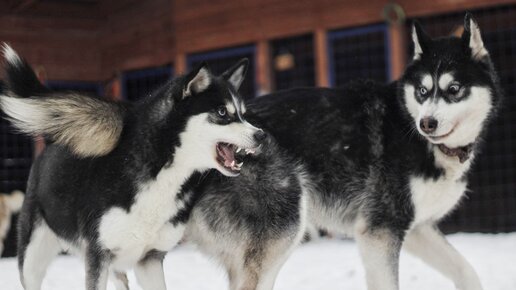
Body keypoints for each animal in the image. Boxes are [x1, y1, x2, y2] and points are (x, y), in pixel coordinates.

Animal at [1, 43, 266, 290]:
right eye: (222, 112)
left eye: (243, 114)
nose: (261, 135)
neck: (160, 171)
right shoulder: (98, 255)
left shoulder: (149, 259)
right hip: (33, 261)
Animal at [250, 15, 500, 290]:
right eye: (422, 91)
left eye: (454, 89)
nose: (426, 123)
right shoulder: (381, 231)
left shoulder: (417, 228)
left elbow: (466, 271)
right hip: (281, 234)